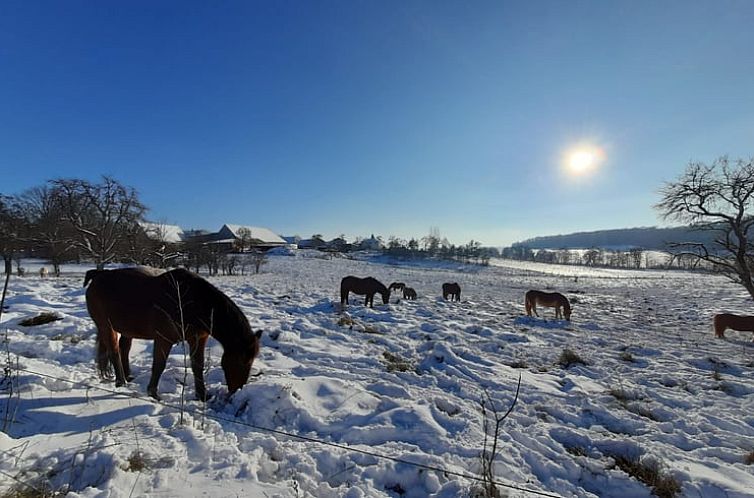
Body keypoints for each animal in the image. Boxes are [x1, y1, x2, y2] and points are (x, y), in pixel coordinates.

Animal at [84, 268, 262, 400]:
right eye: (243, 361)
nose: (236, 391)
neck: (189, 302)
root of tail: (97, 275)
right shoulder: (164, 339)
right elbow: (159, 365)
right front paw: (153, 393)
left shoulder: (198, 339)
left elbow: (198, 366)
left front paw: (202, 395)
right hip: (106, 326)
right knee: (114, 351)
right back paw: (121, 382)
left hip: (128, 328)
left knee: (124, 349)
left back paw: (128, 377)